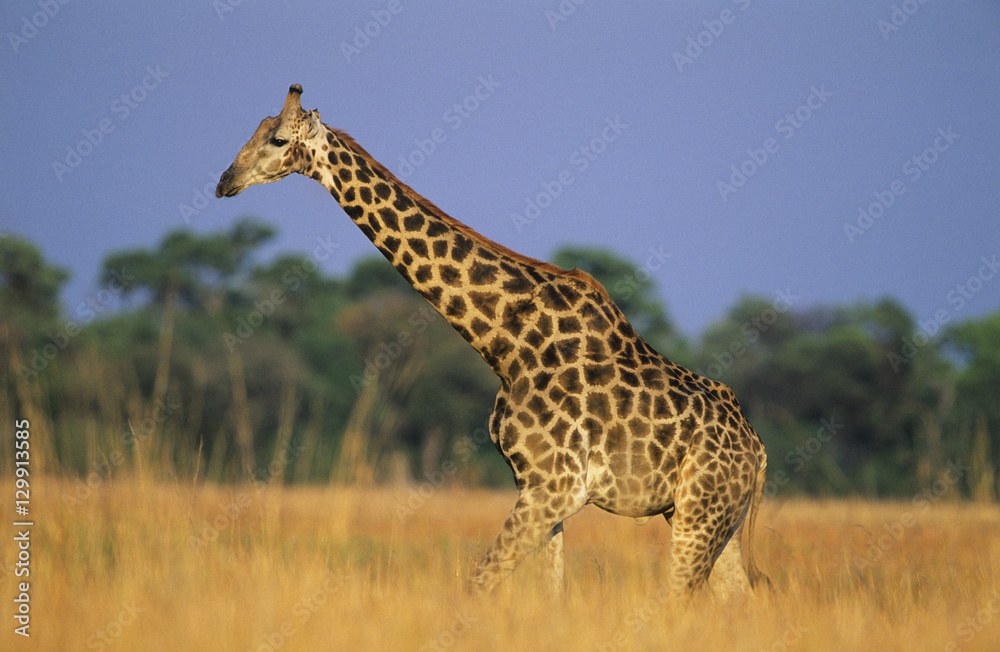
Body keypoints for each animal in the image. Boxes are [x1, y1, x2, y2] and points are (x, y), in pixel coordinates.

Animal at [216, 85, 769, 599]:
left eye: (278, 139)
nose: (225, 182)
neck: (505, 344)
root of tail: (757, 450)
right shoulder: (539, 487)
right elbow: (548, 594)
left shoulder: (554, 486)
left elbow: (478, 583)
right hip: (706, 517)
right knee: (738, 600)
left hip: (700, 512)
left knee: (679, 599)